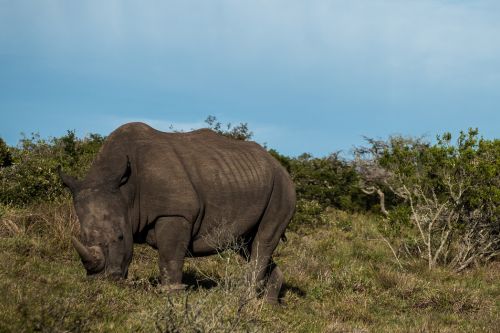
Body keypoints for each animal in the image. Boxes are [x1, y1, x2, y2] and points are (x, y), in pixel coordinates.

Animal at [61, 122, 296, 304]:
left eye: (120, 236)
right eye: (83, 237)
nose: (102, 280)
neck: (125, 190)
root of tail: (280, 164)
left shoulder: (175, 213)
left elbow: (170, 257)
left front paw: (170, 295)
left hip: (282, 188)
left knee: (263, 241)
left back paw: (245, 298)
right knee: (247, 244)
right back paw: (268, 305)